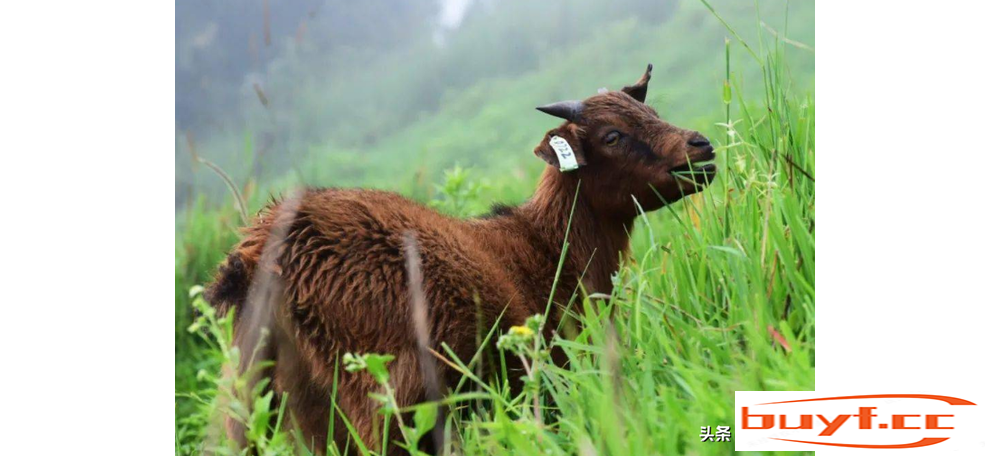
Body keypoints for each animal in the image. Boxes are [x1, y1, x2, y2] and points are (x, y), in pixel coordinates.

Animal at [209, 64, 716, 452]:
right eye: (612, 136)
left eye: (653, 112)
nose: (702, 148)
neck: (548, 247)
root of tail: (264, 258)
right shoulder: (551, 376)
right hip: (390, 399)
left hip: (257, 409)